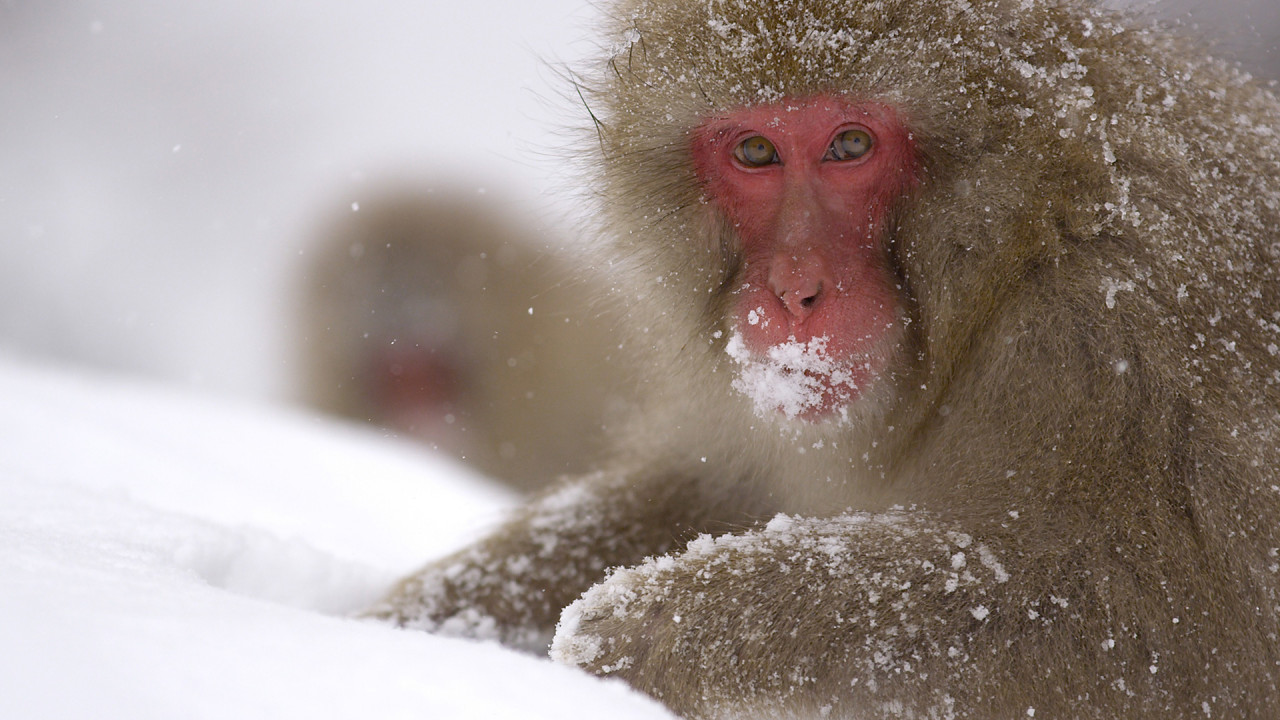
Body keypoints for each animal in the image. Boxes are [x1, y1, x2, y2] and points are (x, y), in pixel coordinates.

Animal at [368, 0, 1280, 712]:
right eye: (755, 153)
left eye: (848, 146)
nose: (794, 291)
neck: (1027, 238)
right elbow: (715, 493)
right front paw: (420, 630)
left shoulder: (1135, 333)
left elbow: (1149, 636)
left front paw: (656, 629)